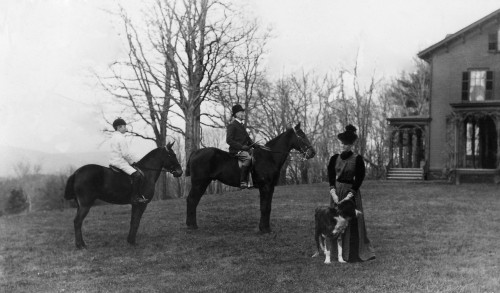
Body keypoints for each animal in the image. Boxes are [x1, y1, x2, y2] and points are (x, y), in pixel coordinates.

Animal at [186, 122, 314, 232]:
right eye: (301, 136)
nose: (313, 153)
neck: (269, 157)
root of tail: (196, 152)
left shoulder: (270, 187)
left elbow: (268, 207)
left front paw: (266, 228)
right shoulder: (265, 187)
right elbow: (264, 207)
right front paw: (264, 229)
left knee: (193, 200)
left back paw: (192, 225)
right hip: (199, 183)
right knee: (192, 200)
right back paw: (191, 226)